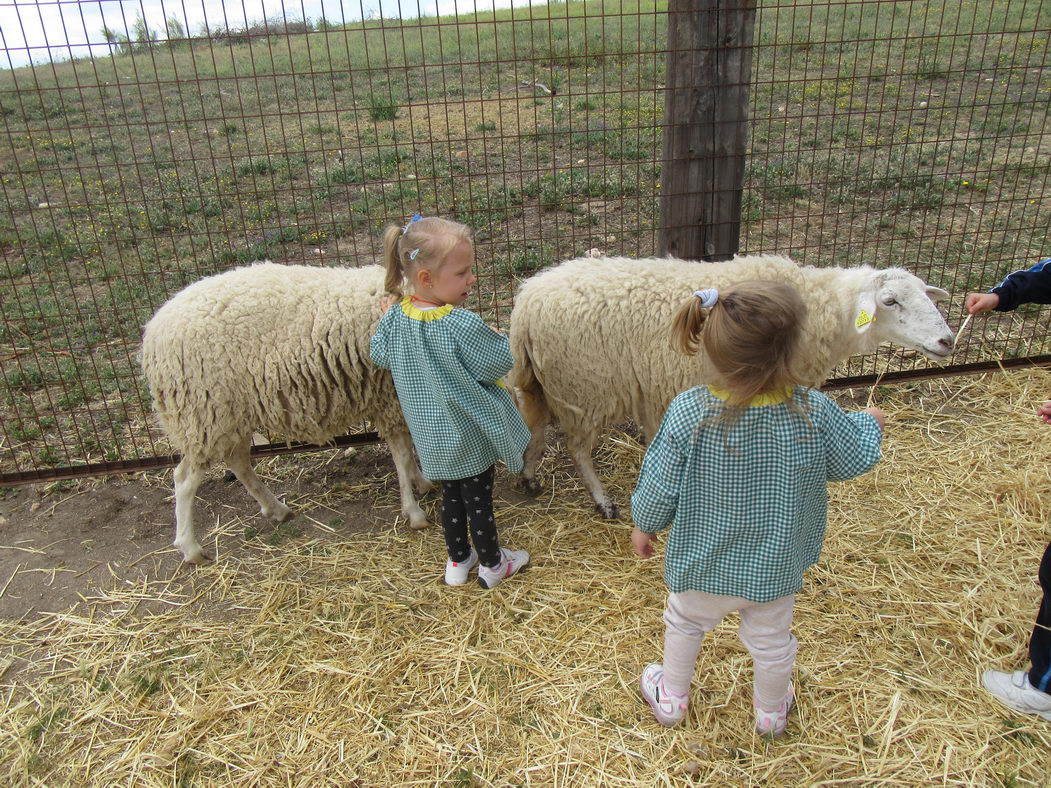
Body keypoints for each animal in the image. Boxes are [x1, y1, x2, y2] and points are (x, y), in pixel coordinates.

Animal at [142, 262, 430, 563]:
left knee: (238, 463)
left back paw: (276, 509)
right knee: (185, 479)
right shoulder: (391, 398)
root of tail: (153, 331)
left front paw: (421, 482)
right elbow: (402, 455)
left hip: (231, 414)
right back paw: (190, 547)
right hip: (204, 414)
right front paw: (413, 510)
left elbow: (411, 448)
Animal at [512, 253, 958, 519]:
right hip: (584, 386)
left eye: (925, 295)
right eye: (890, 301)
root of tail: (526, 302)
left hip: (547, 383)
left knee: (536, 426)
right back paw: (602, 500)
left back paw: (529, 476)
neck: (823, 310)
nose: (946, 341)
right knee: (577, 448)